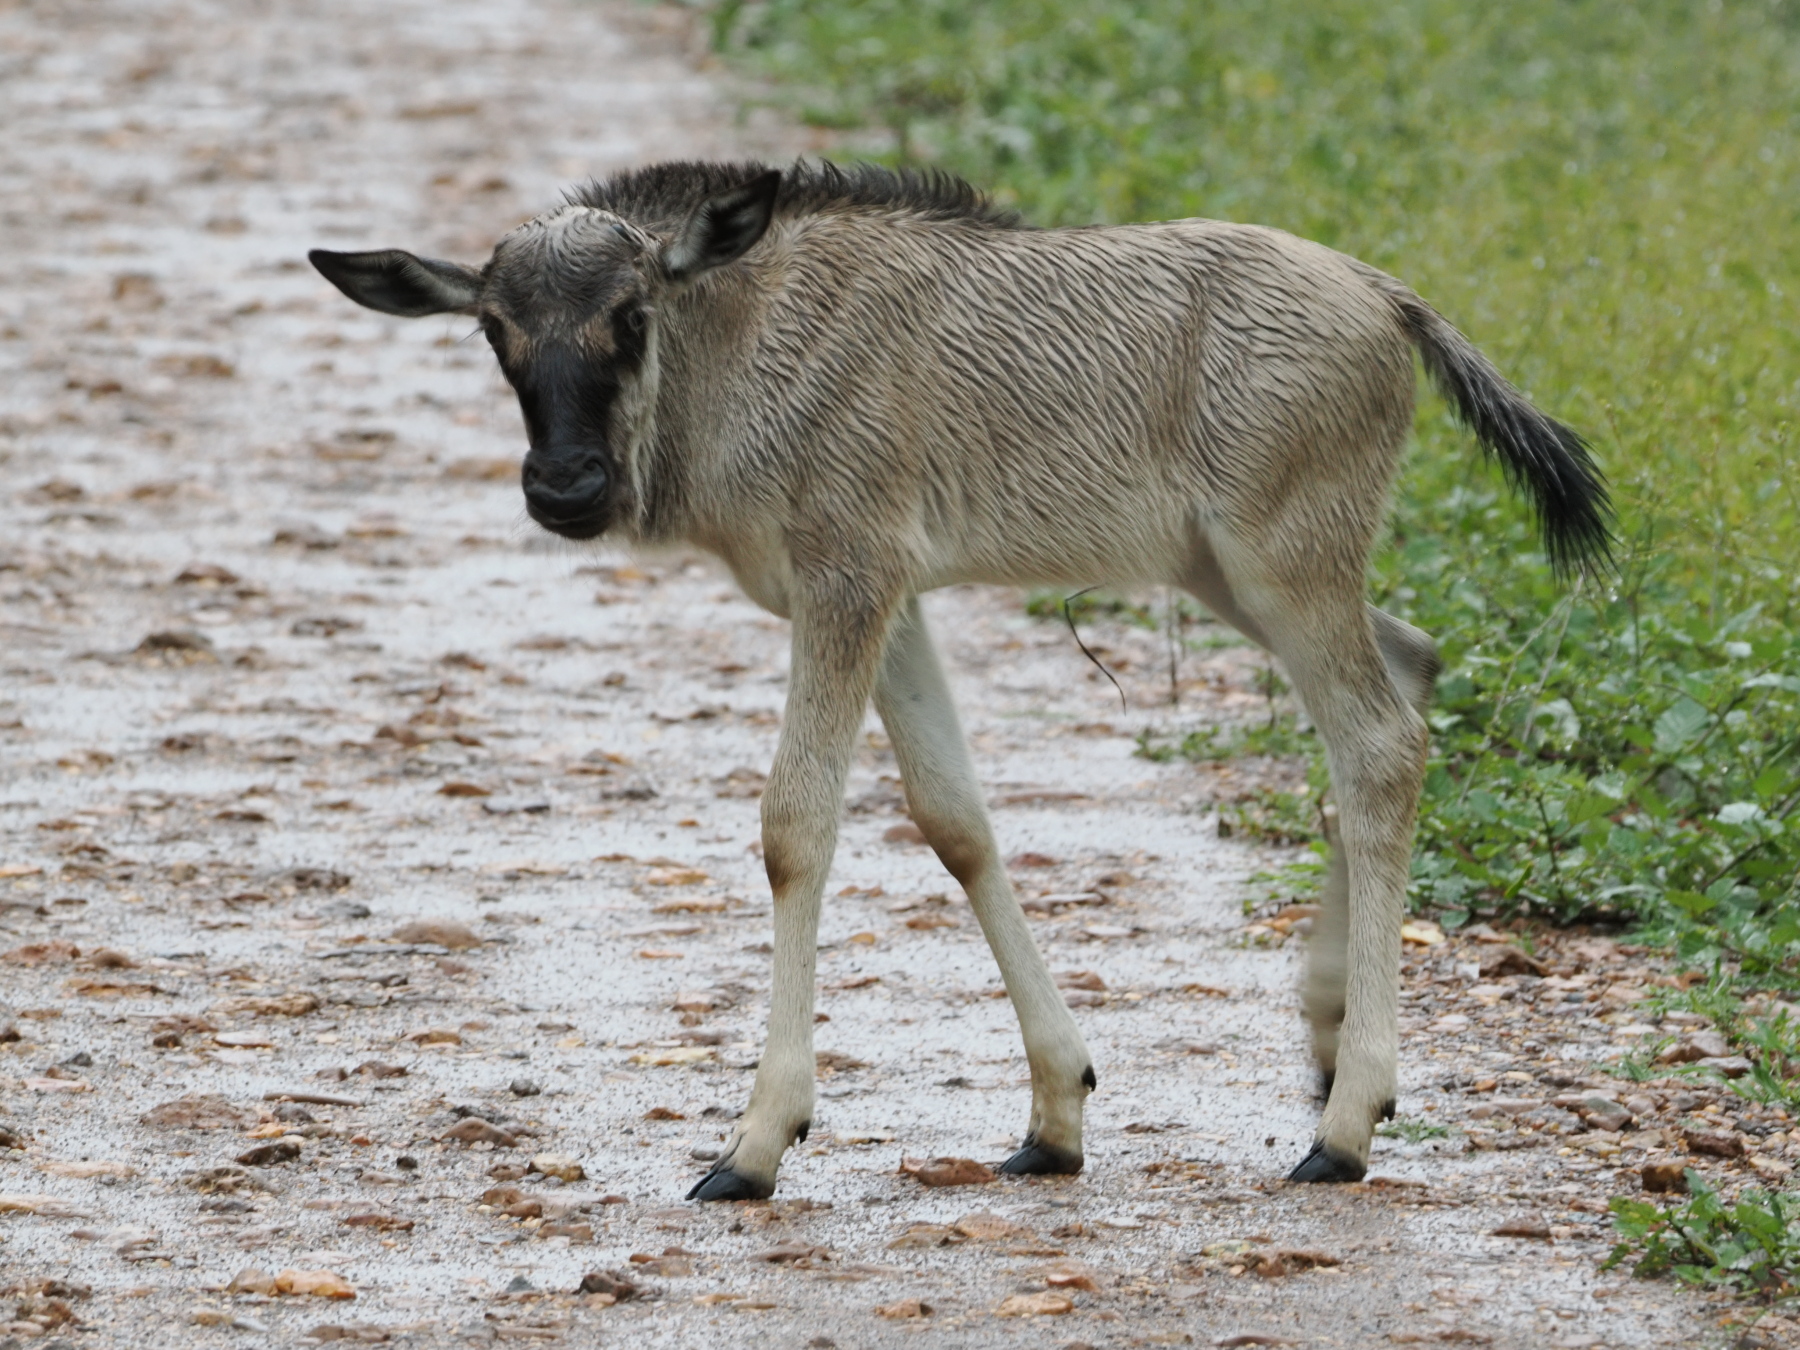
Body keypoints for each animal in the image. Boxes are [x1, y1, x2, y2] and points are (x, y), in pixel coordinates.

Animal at [309, 159, 1608, 1198]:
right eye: (493, 330)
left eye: (629, 317)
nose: (564, 487)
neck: (745, 328)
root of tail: (1387, 297)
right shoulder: (893, 604)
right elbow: (955, 819)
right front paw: (1057, 1109)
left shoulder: (846, 583)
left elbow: (796, 826)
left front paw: (758, 1141)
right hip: (1231, 574)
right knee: (1407, 668)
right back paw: (1331, 1048)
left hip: (1281, 566)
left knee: (1379, 745)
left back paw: (1346, 1126)